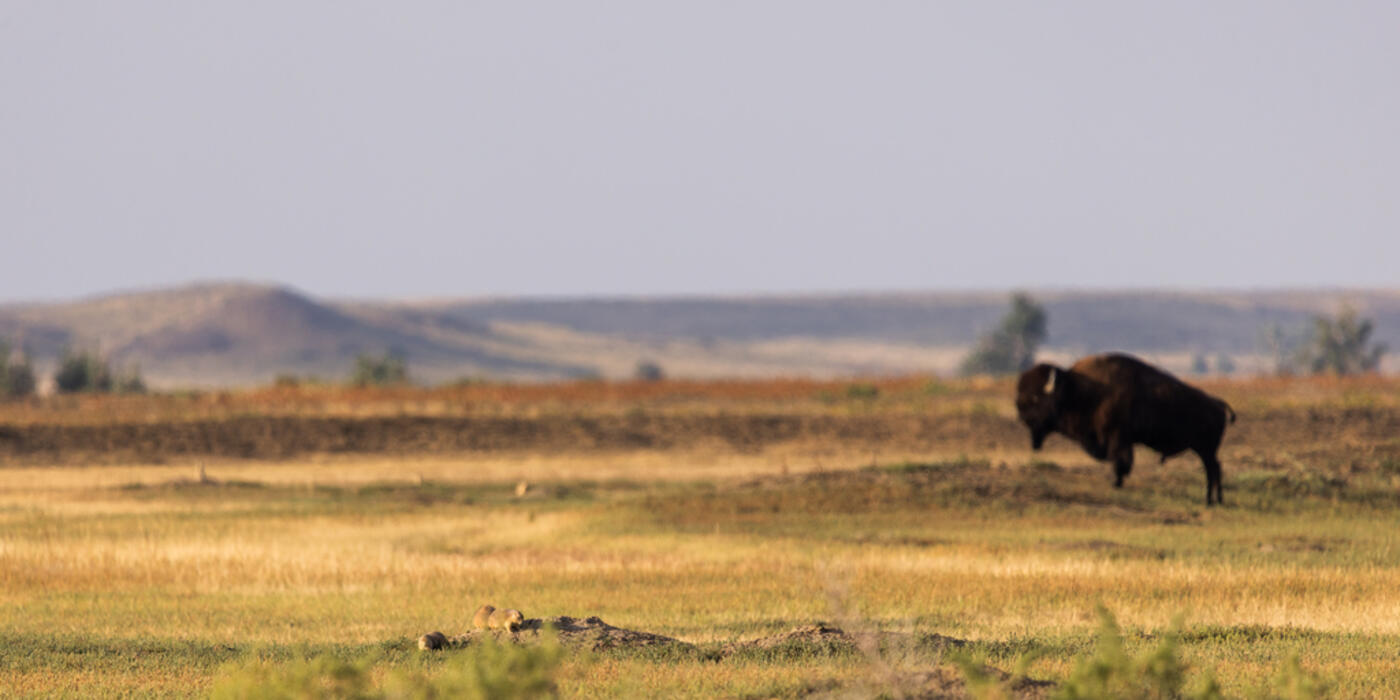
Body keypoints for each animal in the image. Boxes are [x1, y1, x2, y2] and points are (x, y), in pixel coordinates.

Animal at [1015, 353, 1236, 505]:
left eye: (1035, 398)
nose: (1021, 413)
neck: (1077, 390)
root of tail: (1217, 403)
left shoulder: (1118, 438)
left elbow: (1120, 461)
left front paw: (1117, 483)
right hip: (1205, 450)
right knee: (1215, 468)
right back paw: (1215, 499)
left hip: (1205, 449)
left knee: (1212, 469)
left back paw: (1210, 500)